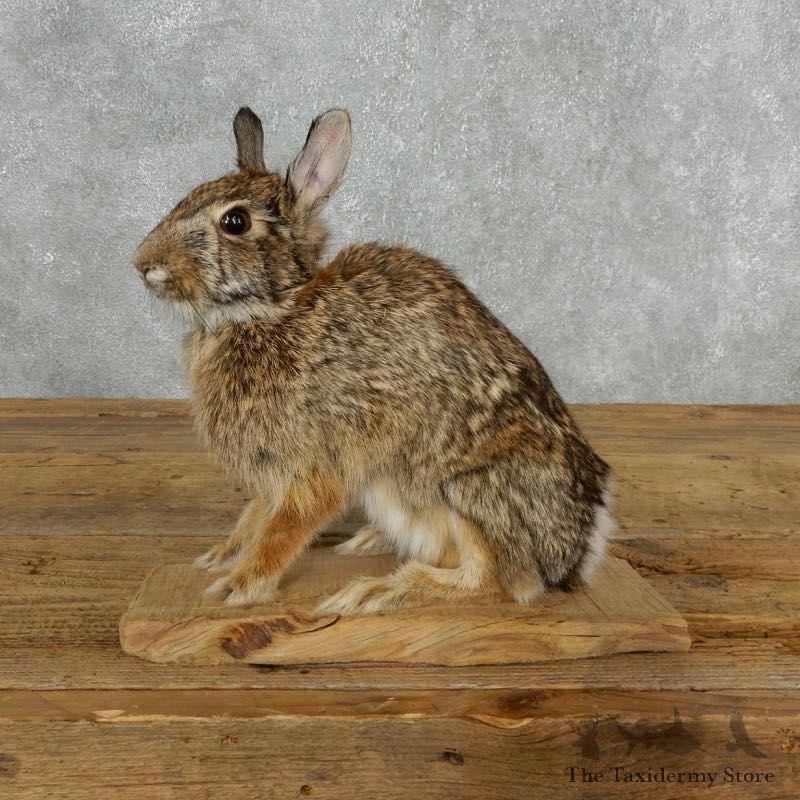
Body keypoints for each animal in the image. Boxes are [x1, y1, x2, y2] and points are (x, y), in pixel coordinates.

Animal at [132, 105, 616, 615]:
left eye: (236, 222)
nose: (142, 263)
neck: (276, 307)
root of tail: (580, 549)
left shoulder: (316, 461)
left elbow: (285, 528)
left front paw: (237, 586)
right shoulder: (277, 474)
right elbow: (256, 514)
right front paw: (222, 555)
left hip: (470, 490)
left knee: (496, 581)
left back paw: (374, 590)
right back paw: (369, 544)